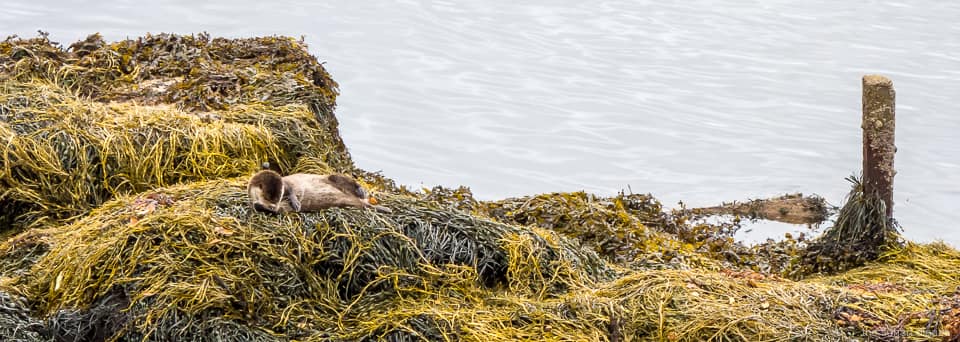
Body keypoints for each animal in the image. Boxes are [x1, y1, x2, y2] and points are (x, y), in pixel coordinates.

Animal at [246, 170, 392, 214]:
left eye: (278, 197)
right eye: (268, 198)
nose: (273, 205)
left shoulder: (286, 181)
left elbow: (290, 188)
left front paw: (295, 202)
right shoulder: (282, 207)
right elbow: (275, 210)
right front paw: (260, 205)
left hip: (329, 177)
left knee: (340, 177)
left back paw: (361, 191)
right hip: (349, 203)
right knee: (365, 206)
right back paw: (384, 209)